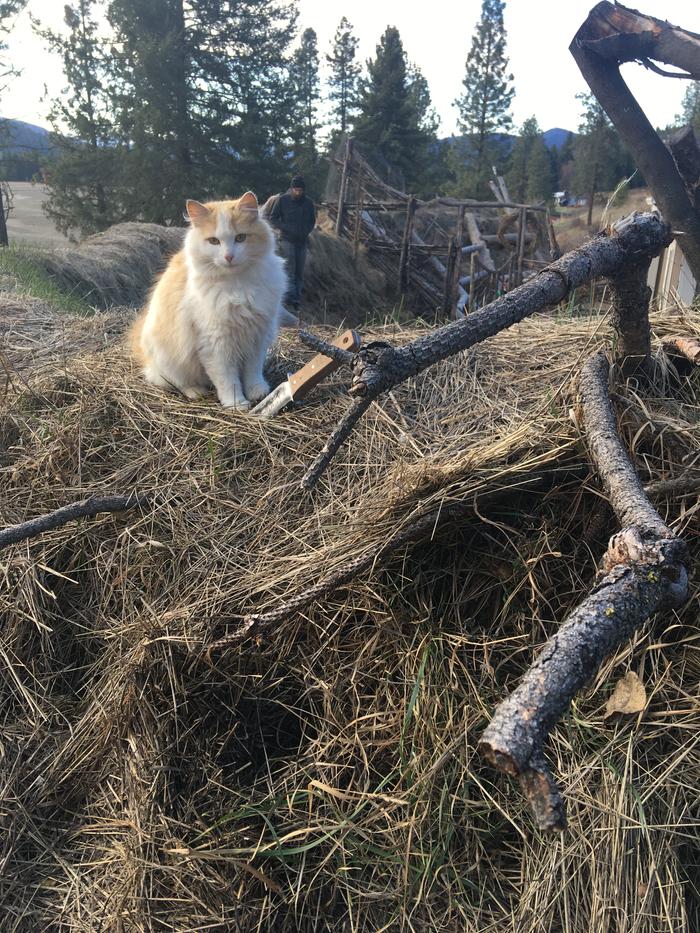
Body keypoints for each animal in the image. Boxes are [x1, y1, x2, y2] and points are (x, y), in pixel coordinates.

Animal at [131, 191, 284, 406]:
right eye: (214, 241)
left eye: (240, 238)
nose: (229, 256)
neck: (237, 286)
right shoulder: (216, 342)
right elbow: (228, 379)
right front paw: (236, 404)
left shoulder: (257, 336)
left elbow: (253, 371)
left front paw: (257, 392)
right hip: (168, 359)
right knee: (176, 383)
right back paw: (196, 391)